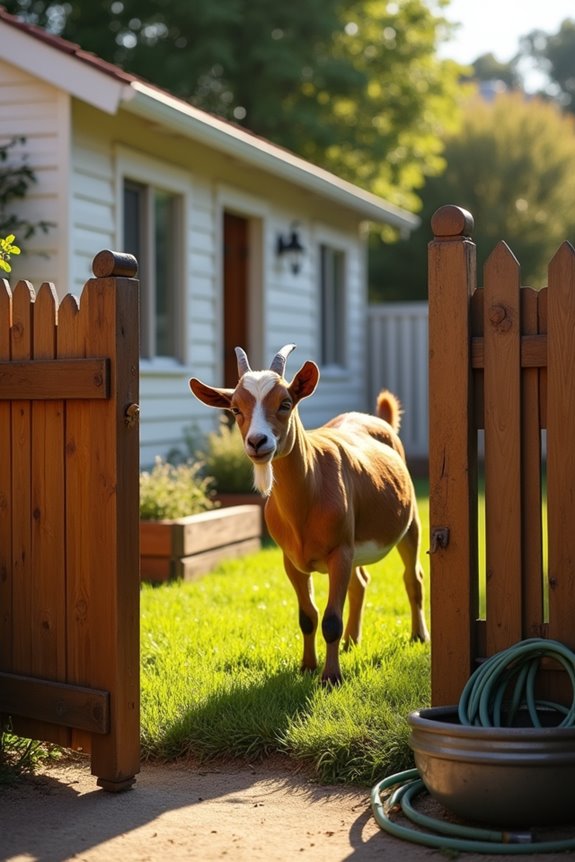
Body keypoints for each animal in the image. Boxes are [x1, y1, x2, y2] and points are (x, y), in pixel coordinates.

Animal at [189, 345, 429, 685]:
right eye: (235, 408)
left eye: (285, 403)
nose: (257, 442)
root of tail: (378, 419)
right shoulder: (291, 560)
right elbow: (308, 616)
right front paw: (307, 666)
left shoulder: (340, 552)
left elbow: (330, 619)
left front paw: (331, 677)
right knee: (360, 582)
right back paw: (351, 641)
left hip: (409, 524)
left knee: (413, 577)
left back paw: (418, 636)